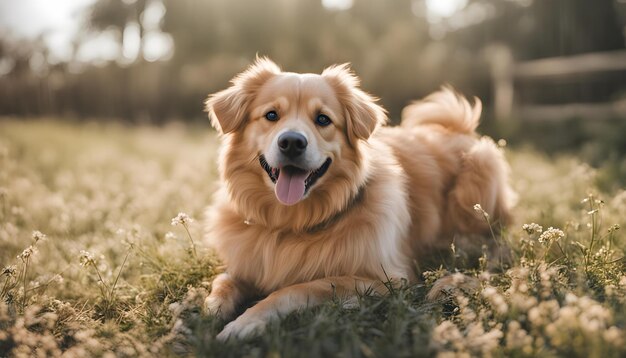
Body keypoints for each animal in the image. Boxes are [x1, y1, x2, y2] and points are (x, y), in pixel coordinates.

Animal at [204, 57, 512, 340]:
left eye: (323, 119)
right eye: (271, 115)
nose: (291, 142)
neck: (292, 223)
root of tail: (458, 129)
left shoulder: (388, 280)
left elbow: (296, 289)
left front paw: (246, 322)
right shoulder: (245, 263)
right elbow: (223, 281)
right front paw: (210, 309)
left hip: (479, 172)